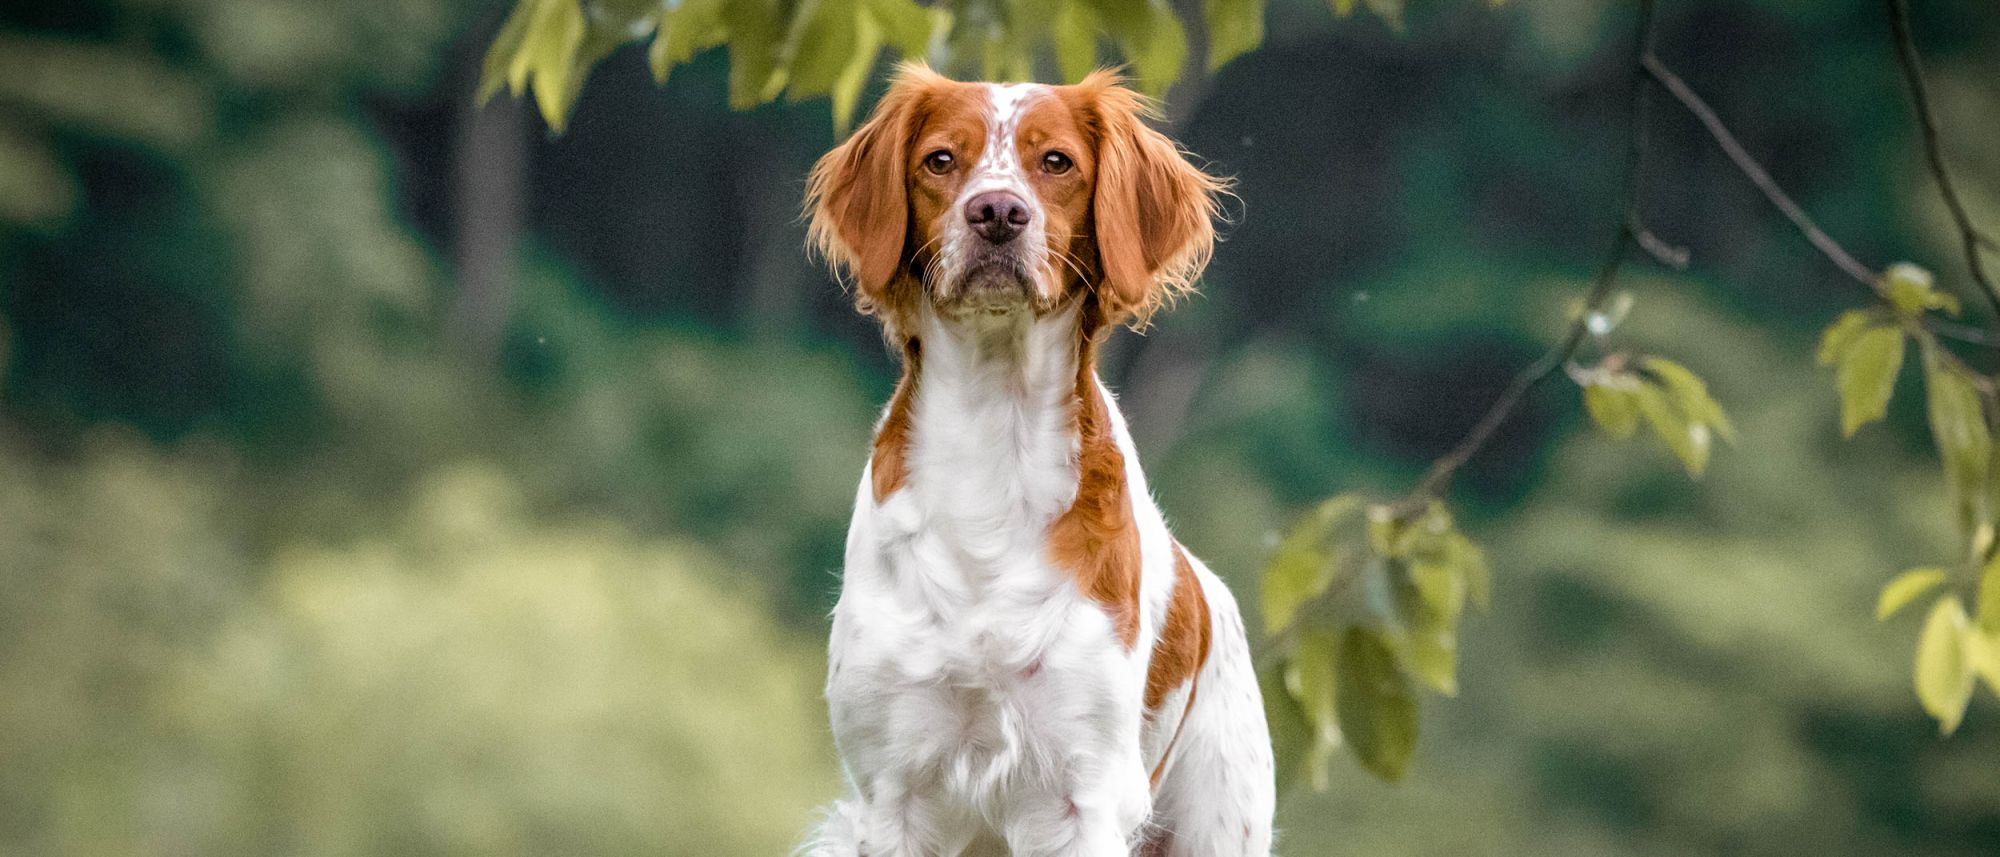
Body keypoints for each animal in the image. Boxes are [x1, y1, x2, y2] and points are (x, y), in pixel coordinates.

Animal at [792, 67, 1264, 857]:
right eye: (940, 159)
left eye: (1057, 162)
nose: (997, 213)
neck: (994, 434)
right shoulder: (893, 788)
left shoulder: (1083, 790)